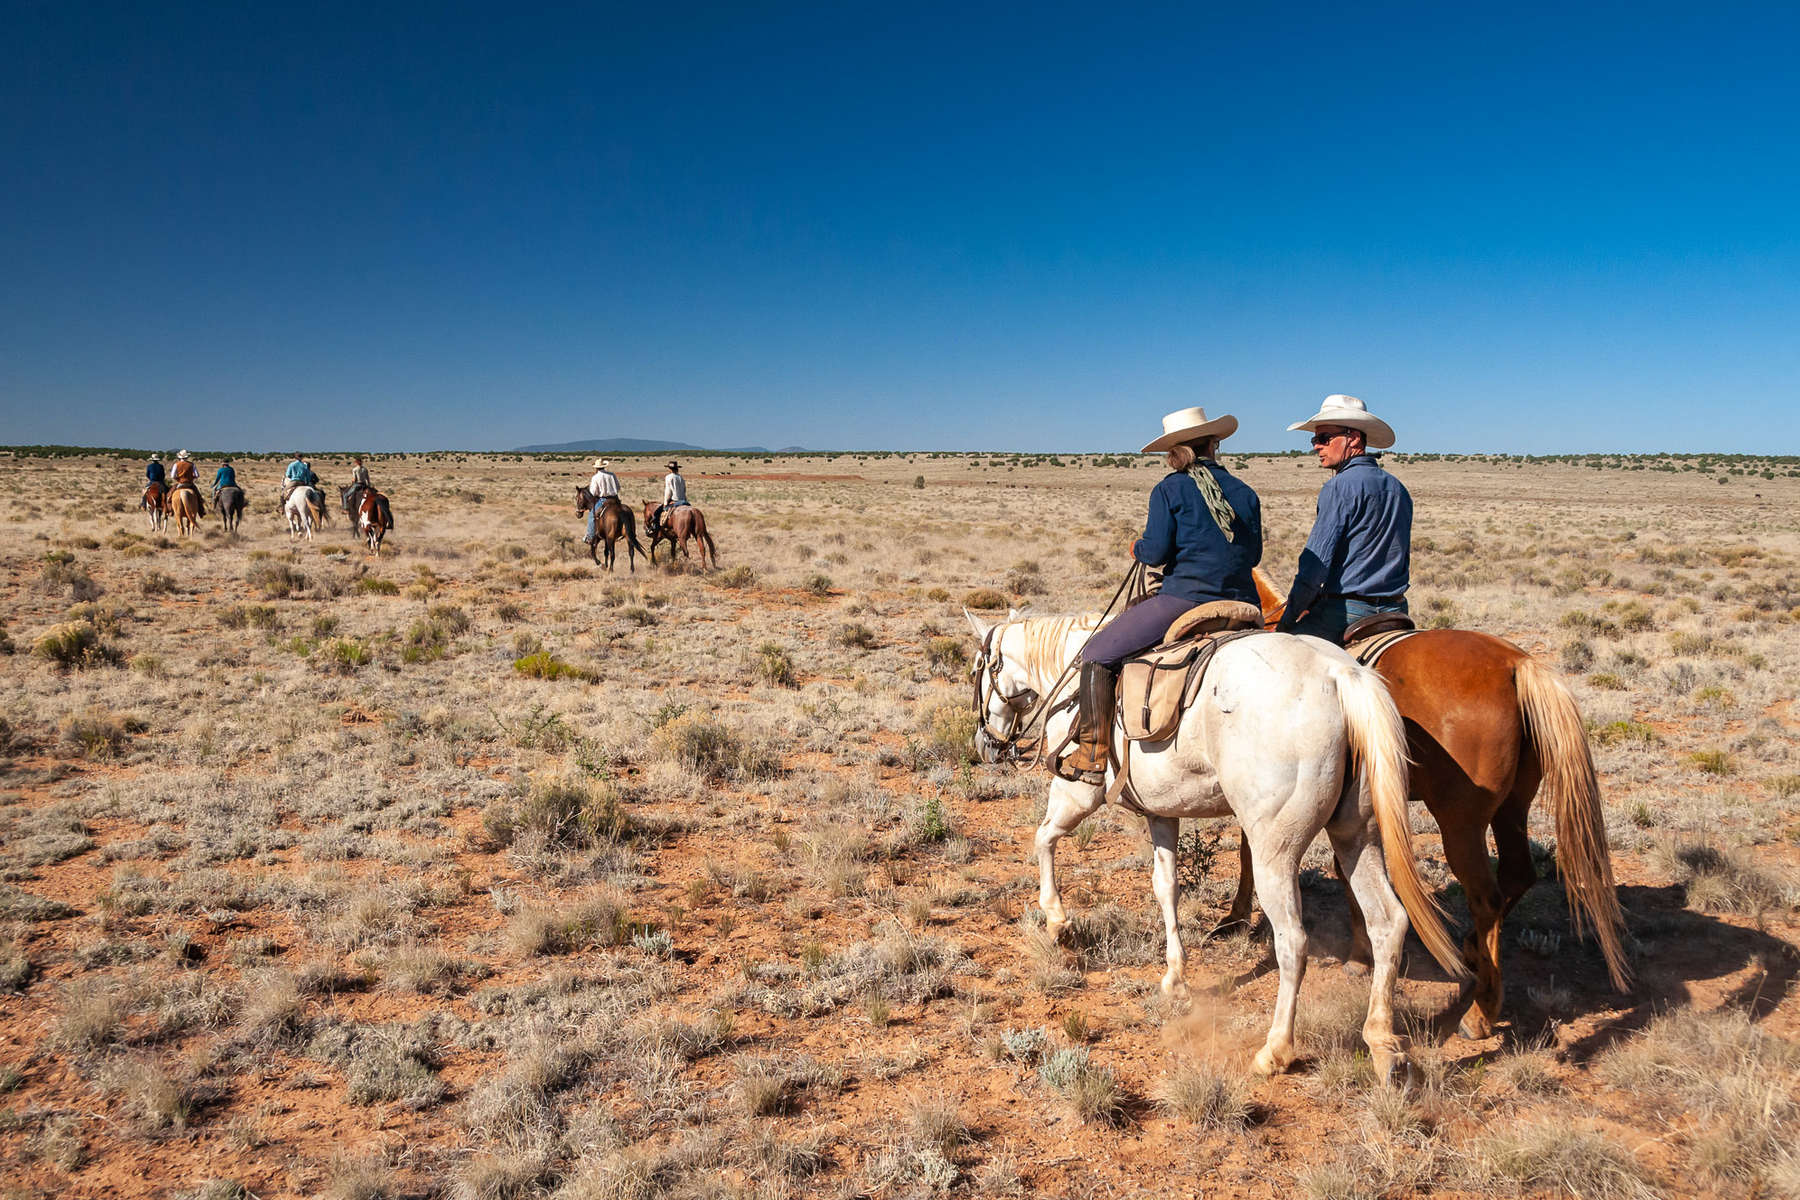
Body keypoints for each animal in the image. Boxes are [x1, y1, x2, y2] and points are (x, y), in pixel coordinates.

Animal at [1224, 568, 1634, 1036]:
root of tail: (1516, 665)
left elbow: (1252, 853)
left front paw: (1236, 918)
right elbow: (1350, 873)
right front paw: (1361, 955)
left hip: (1460, 823)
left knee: (1487, 897)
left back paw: (1481, 1011)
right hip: (1512, 808)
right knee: (1518, 874)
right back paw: (1473, 951)